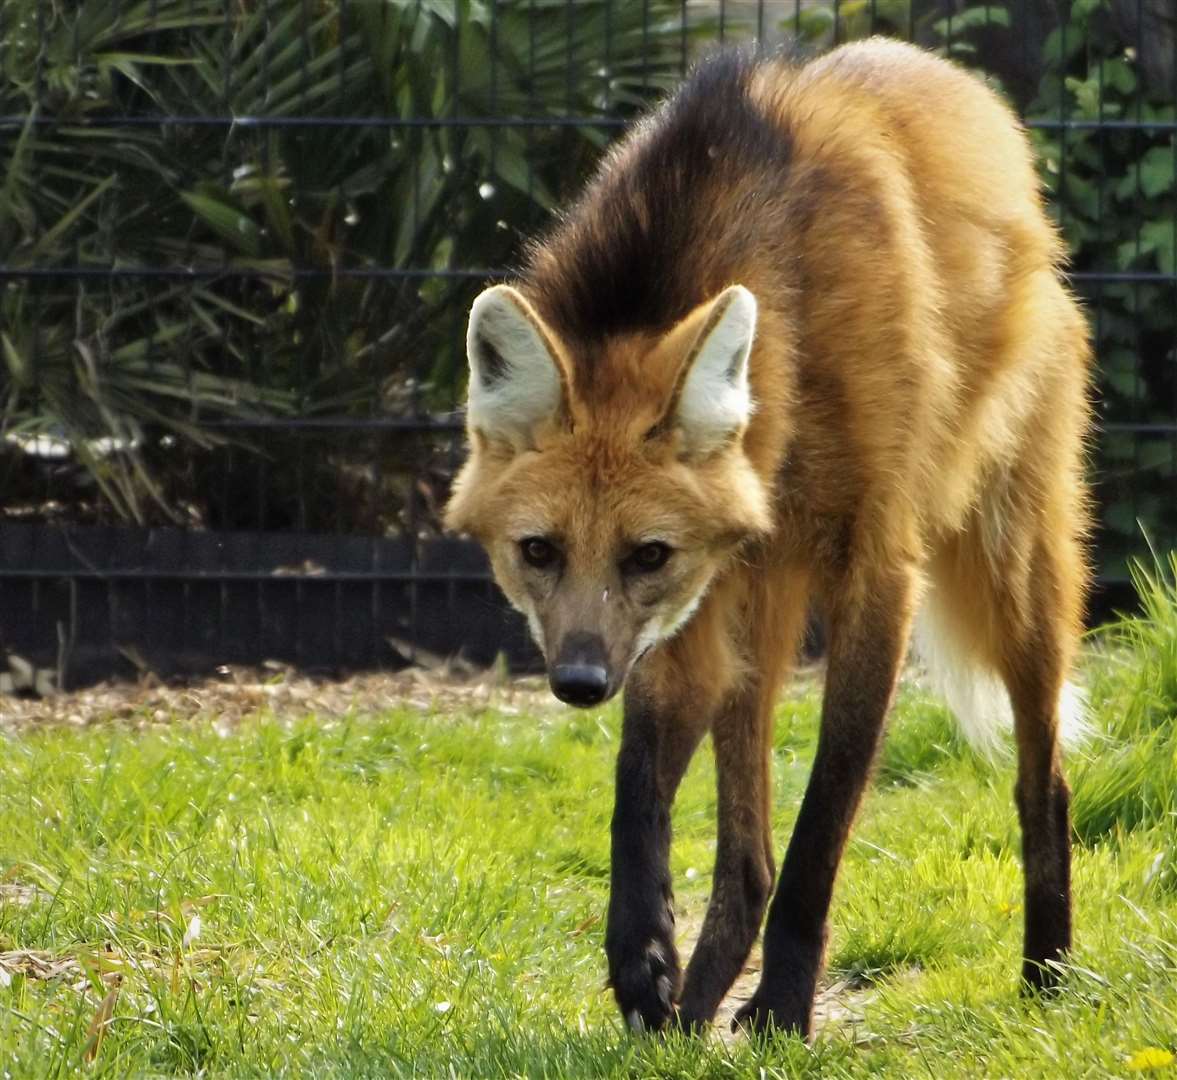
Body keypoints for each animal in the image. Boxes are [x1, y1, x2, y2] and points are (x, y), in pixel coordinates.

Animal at [442, 40, 1092, 1040]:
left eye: (646, 553)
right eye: (539, 551)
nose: (580, 682)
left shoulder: (875, 571)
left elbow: (824, 813)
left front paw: (783, 1003)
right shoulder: (687, 613)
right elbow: (637, 790)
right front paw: (642, 968)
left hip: (1010, 565)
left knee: (1041, 774)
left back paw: (1045, 972)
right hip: (758, 600)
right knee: (744, 856)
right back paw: (690, 1011)